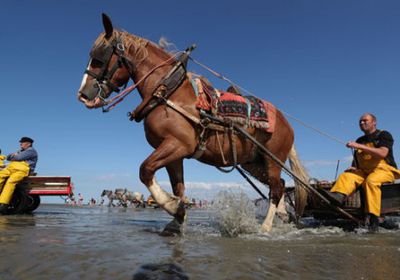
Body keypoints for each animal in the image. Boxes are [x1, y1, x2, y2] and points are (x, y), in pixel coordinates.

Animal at [76, 14, 304, 235]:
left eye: (99, 57)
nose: (83, 94)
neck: (168, 91)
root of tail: (286, 123)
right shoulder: (173, 153)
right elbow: (178, 188)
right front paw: (178, 218)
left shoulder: (179, 144)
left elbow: (145, 170)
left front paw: (172, 206)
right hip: (253, 162)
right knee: (280, 184)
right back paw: (283, 216)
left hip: (272, 159)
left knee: (276, 189)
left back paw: (265, 227)